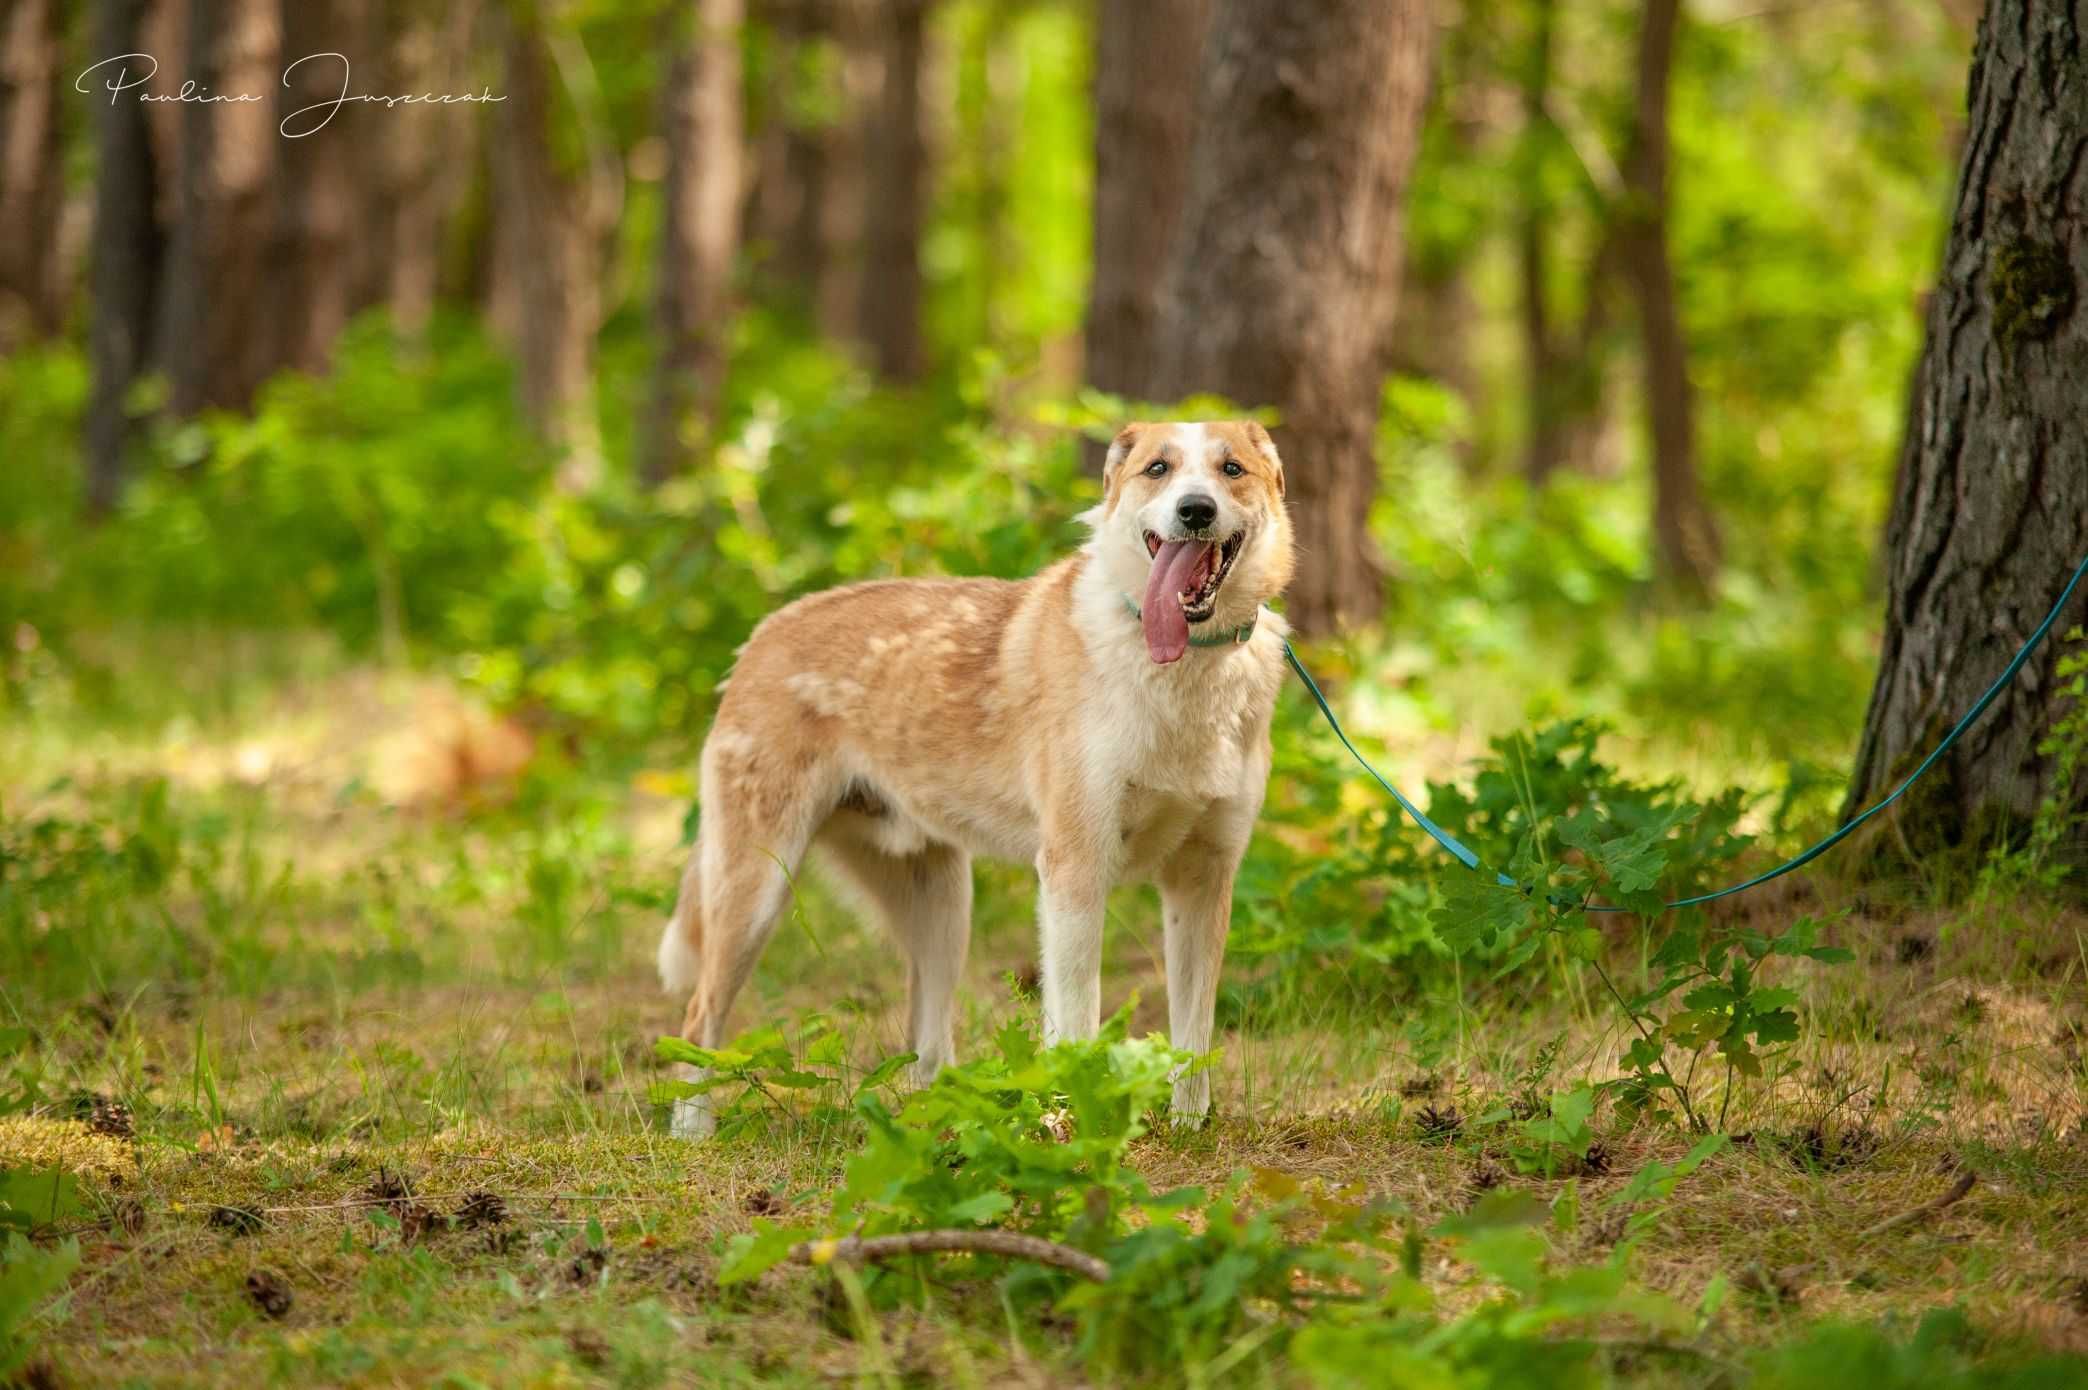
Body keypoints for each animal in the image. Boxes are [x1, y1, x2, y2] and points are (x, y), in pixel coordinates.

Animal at [659, 417, 1294, 1135]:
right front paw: (1077, 1129)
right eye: (1158, 469)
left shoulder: (1203, 878)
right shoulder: (1075, 871)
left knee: (925, 1041)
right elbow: (1076, 1019)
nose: (1196, 511)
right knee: (699, 1017)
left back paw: (935, 1115)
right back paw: (692, 1130)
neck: (1181, 666)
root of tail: (761, 636)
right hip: (756, 892)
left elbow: (1194, 1032)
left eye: (1231, 469)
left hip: (942, 907)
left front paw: (1189, 1128)